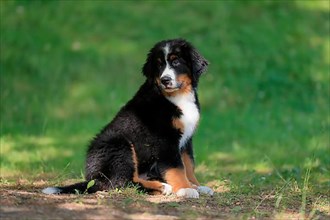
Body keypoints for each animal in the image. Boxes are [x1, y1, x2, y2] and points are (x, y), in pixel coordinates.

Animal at [42, 38, 214, 199]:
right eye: (158, 65)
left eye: (176, 62)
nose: (165, 80)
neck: (178, 97)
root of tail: (93, 177)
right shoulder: (165, 139)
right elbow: (177, 167)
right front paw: (186, 188)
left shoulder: (186, 139)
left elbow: (188, 164)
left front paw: (196, 185)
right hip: (120, 146)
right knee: (122, 182)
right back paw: (161, 187)